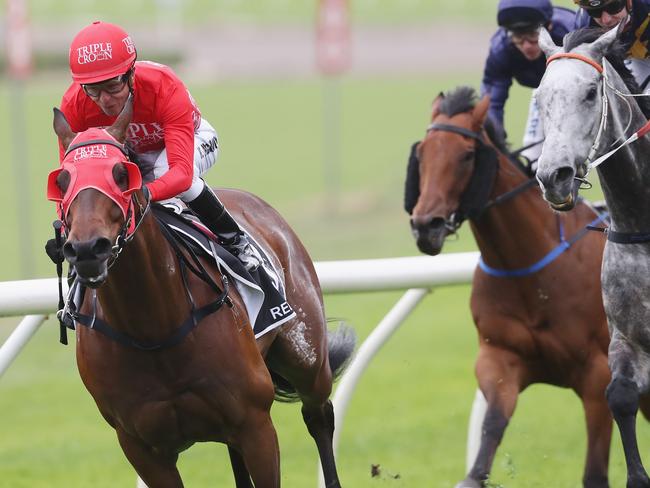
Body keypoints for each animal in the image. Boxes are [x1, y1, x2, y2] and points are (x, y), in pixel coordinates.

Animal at [46, 97, 354, 486]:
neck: (152, 327)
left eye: (121, 174)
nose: (88, 250)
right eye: (62, 180)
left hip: (307, 361)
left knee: (319, 417)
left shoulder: (256, 425)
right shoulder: (141, 448)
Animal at [408, 86, 612, 486]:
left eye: (467, 155)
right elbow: (488, 435)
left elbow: (596, 473)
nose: (426, 226)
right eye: (422, 153)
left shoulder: (600, 375)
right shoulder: (499, 359)